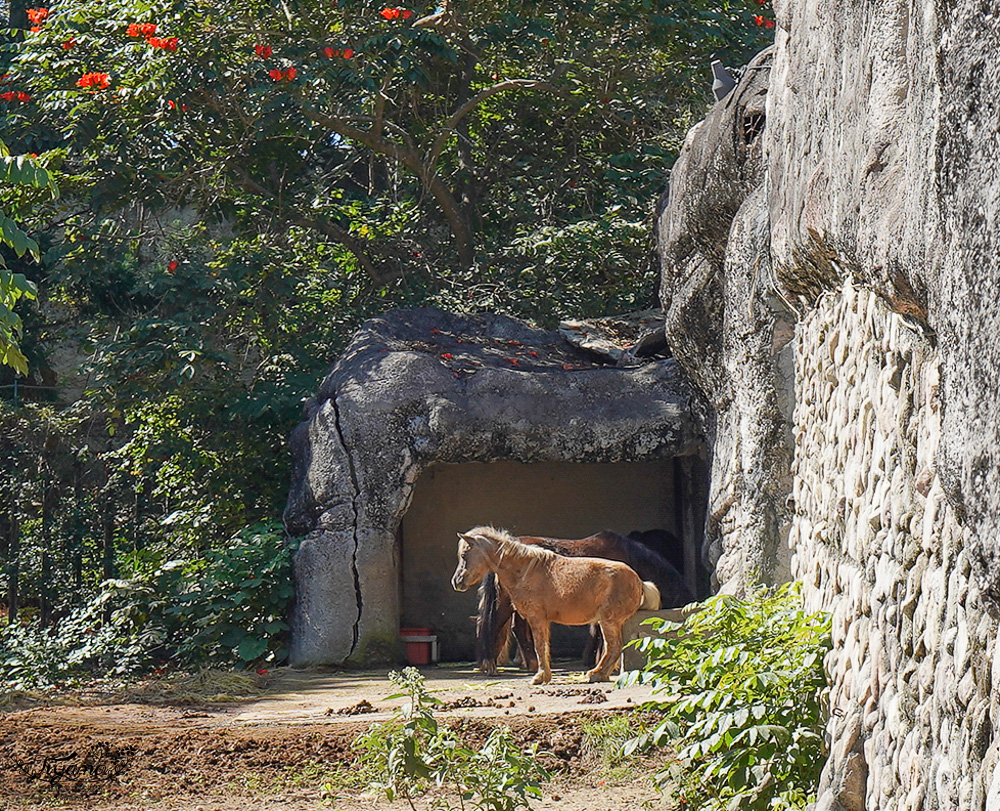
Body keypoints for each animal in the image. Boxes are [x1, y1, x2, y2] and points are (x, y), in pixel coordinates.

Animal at [450, 528, 660, 684]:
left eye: (465, 554)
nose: (457, 581)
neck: (526, 570)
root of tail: (640, 582)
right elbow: (543, 647)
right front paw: (544, 675)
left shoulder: (537, 619)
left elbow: (539, 646)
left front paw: (540, 677)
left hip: (609, 622)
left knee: (614, 648)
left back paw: (595, 674)